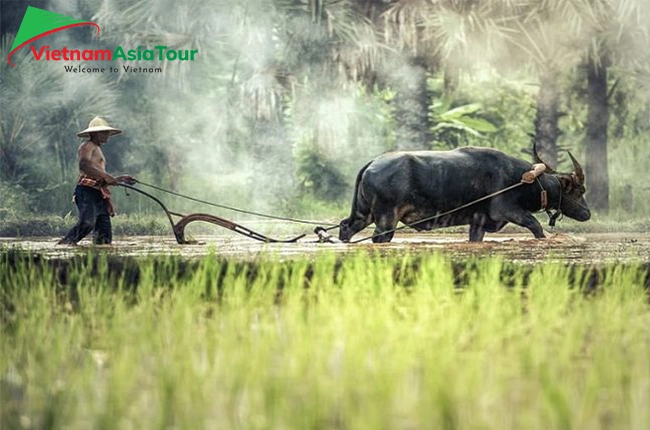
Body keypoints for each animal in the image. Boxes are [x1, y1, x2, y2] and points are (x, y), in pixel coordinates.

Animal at [340, 146, 588, 242]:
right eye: (579, 191)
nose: (587, 213)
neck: (523, 180)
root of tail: (372, 163)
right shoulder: (509, 211)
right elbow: (536, 227)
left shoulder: (478, 223)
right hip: (386, 218)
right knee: (379, 237)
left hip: (364, 213)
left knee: (346, 227)